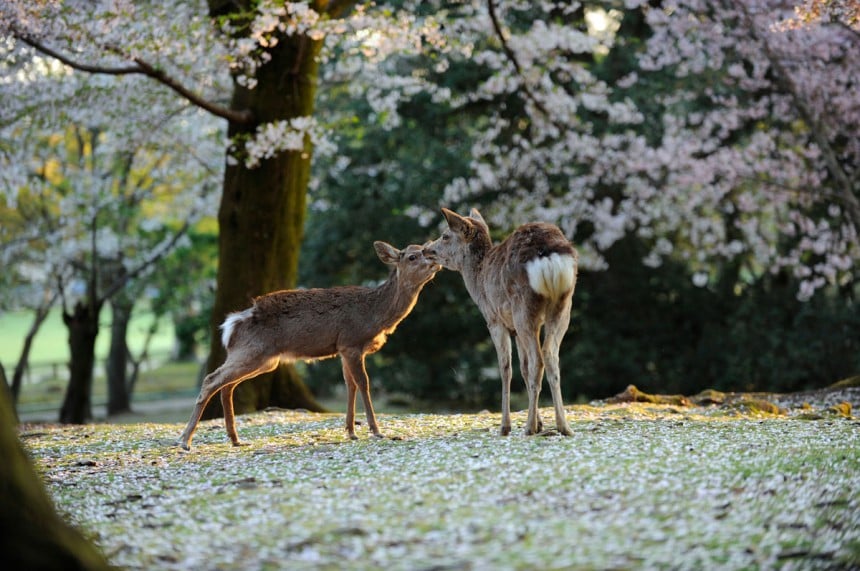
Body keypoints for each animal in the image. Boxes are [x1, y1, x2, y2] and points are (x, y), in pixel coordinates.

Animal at [177, 239, 440, 450]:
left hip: (263, 359)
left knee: (227, 386)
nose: (435, 261)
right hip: (253, 351)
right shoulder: (351, 342)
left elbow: (350, 385)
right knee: (212, 379)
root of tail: (232, 324)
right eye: (412, 256)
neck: (375, 314)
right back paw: (185, 440)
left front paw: (351, 431)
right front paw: (375, 431)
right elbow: (363, 384)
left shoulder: (343, 349)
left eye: (425, 248)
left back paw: (235, 439)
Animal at [424, 208, 576, 436]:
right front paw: (540, 422)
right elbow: (523, 367)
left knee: (538, 359)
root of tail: (548, 255)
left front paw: (506, 426)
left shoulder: (495, 320)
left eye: (445, 235)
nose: (426, 249)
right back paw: (563, 426)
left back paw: (529, 428)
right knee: (550, 354)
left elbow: (505, 367)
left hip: (524, 306)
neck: (478, 282)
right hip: (563, 304)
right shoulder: (515, 328)